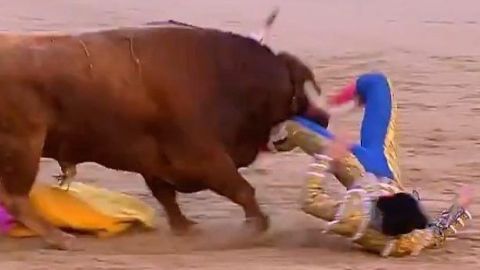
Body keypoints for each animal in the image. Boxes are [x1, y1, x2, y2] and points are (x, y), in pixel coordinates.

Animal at [0, 17, 328, 249]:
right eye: (298, 91)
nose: (323, 119)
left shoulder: (155, 162)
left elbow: (166, 195)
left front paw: (185, 228)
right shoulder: (204, 156)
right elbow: (242, 189)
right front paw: (258, 227)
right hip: (26, 143)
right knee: (16, 198)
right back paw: (61, 239)